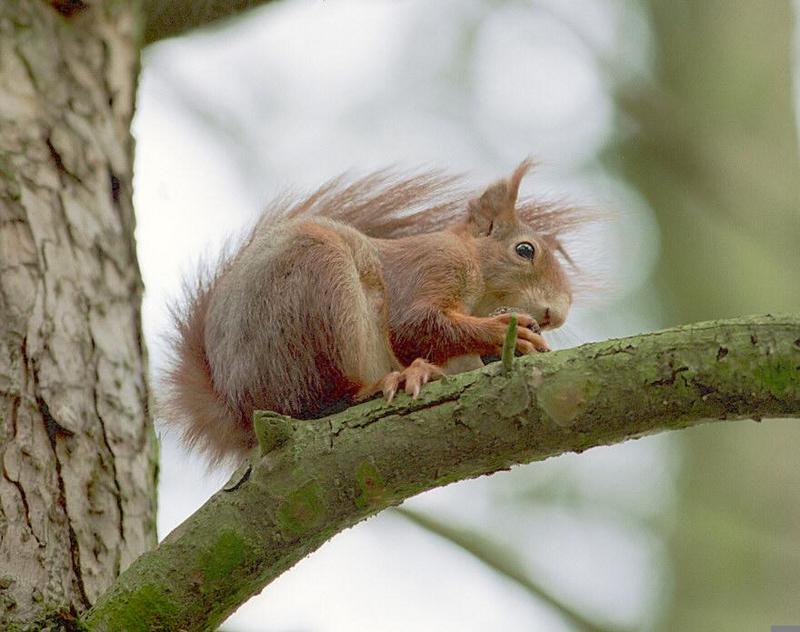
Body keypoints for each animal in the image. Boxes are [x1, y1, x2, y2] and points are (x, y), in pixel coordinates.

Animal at [159, 159, 580, 464]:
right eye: (524, 250)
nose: (559, 315)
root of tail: (239, 406)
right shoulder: (434, 265)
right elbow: (414, 325)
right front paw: (504, 329)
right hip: (320, 283)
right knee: (323, 400)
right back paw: (384, 383)